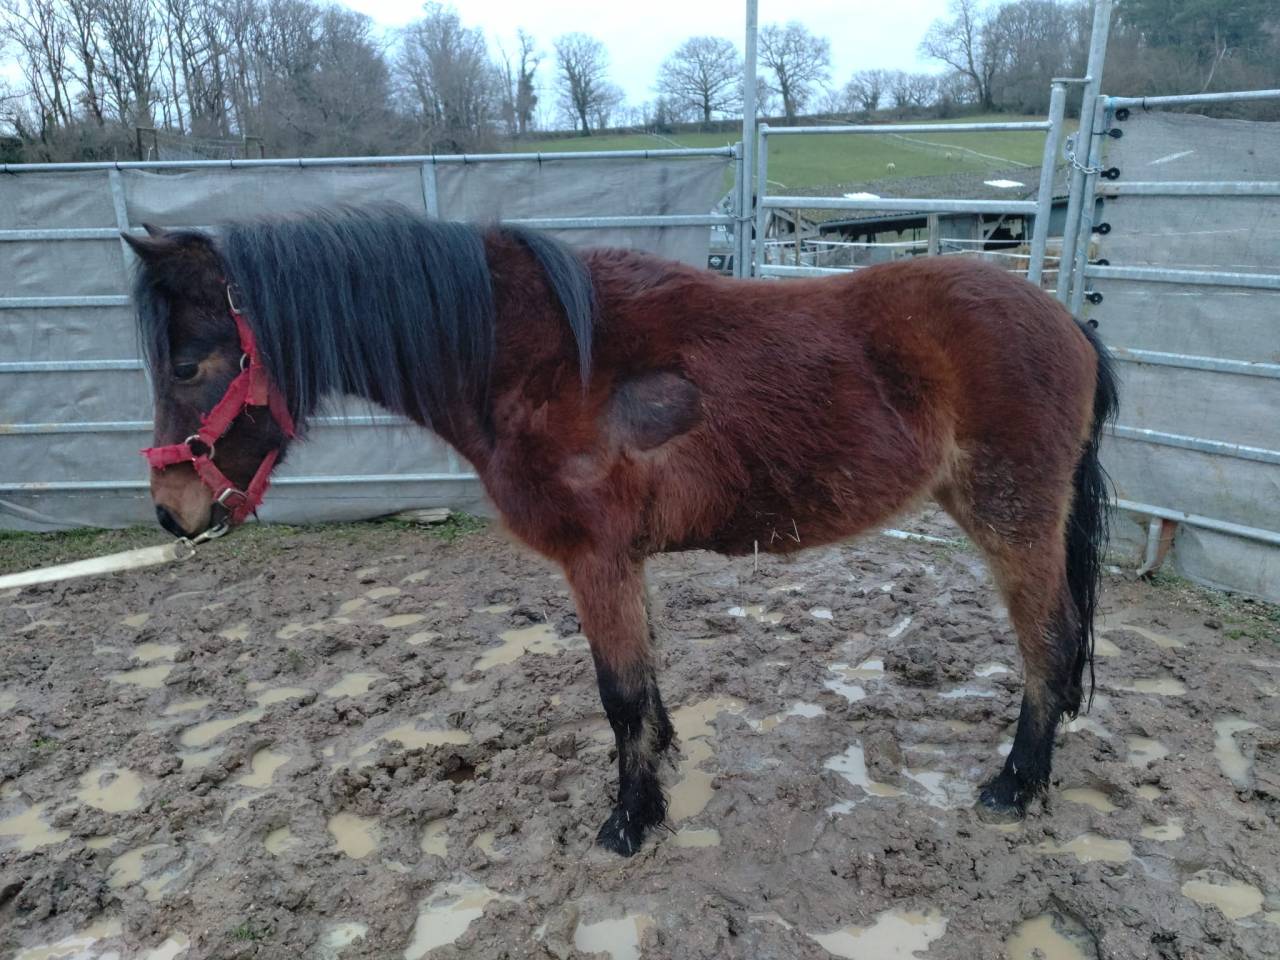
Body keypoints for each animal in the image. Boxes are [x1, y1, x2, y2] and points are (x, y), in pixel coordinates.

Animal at [122, 206, 1117, 857]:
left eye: (190, 362)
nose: (172, 510)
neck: (532, 355)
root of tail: (1066, 321)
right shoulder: (624, 563)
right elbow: (645, 677)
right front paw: (664, 764)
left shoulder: (593, 559)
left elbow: (619, 695)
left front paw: (631, 821)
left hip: (1012, 518)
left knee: (1049, 641)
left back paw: (1016, 785)